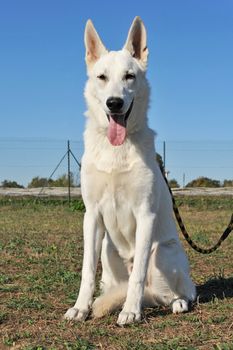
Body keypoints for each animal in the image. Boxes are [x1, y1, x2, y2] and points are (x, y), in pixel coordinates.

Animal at [64, 15, 195, 322]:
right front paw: (80, 307)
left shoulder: (145, 214)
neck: (116, 150)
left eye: (129, 76)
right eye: (101, 77)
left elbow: (137, 277)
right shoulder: (92, 215)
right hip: (107, 252)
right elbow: (86, 271)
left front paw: (131, 312)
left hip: (164, 252)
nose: (114, 103)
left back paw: (177, 303)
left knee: (176, 292)